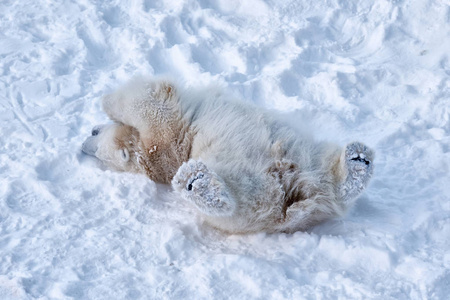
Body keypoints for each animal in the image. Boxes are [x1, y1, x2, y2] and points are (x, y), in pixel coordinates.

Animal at [82, 77, 374, 234]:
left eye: (95, 135)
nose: (84, 144)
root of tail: (298, 197)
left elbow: (150, 106)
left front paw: (106, 100)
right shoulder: (167, 142)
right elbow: (155, 111)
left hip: (303, 153)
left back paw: (356, 163)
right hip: (254, 190)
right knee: (235, 206)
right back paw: (197, 183)